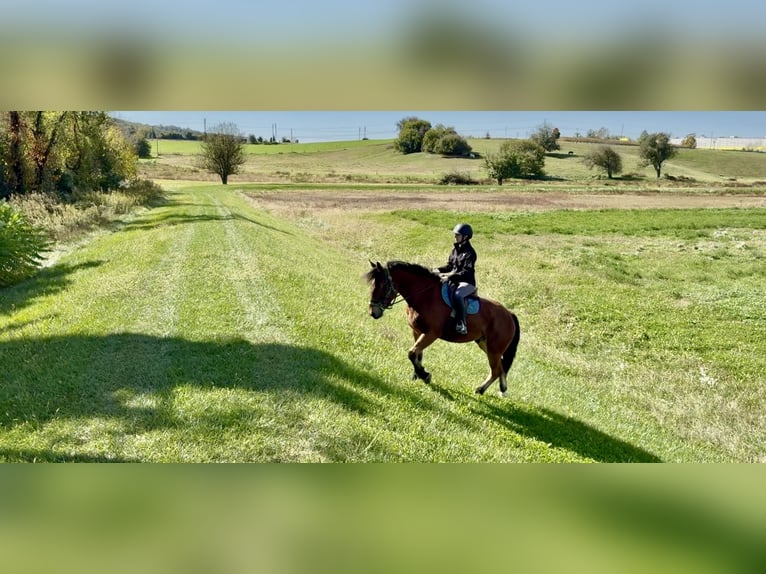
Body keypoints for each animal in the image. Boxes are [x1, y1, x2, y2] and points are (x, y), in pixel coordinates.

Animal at [365, 260, 520, 396]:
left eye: (383, 285)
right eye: (372, 285)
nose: (373, 312)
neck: (424, 295)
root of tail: (509, 314)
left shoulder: (431, 333)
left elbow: (412, 353)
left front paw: (425, 375)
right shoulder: (417, 331)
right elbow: (418, 354)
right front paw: (417, 375)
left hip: (494, 349)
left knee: (496, 370)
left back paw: (480, 390)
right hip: (484, 344)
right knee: (500, 367)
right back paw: (501, 389)